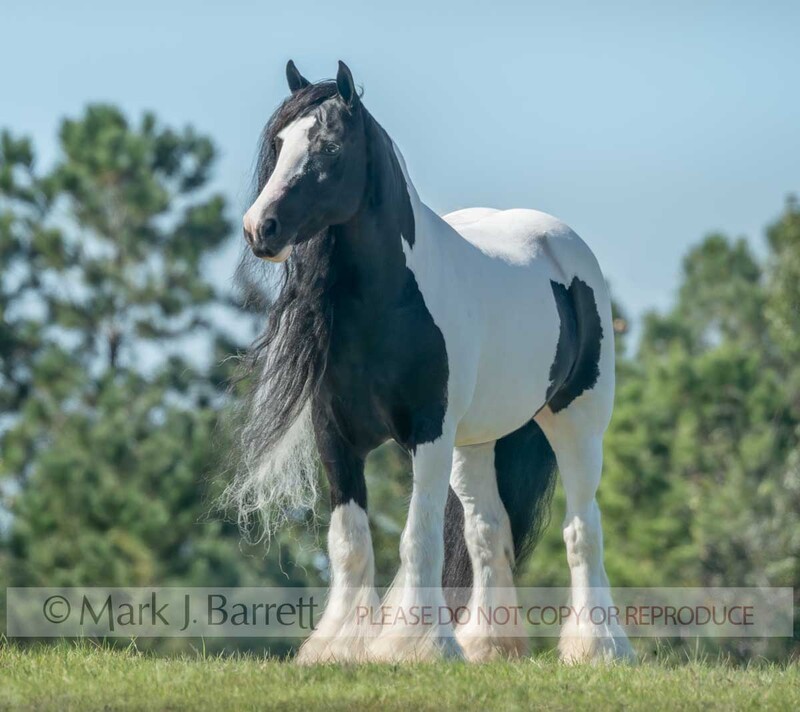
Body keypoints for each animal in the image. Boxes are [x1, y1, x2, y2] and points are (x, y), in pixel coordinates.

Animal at [230, 59, 635, 664]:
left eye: (329, 147)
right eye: (279, 144)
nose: (261, 228)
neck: (389, 304)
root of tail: (563, 247)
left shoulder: (428, 433)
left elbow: (416, 535)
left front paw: (414, 644)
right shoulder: (335, 437)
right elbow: (350, 540)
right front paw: (340, 645)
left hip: (576, 423)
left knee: (581, 529)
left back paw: (598, 647)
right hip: (477, 442)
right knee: (488, 529)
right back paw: (490, 644)